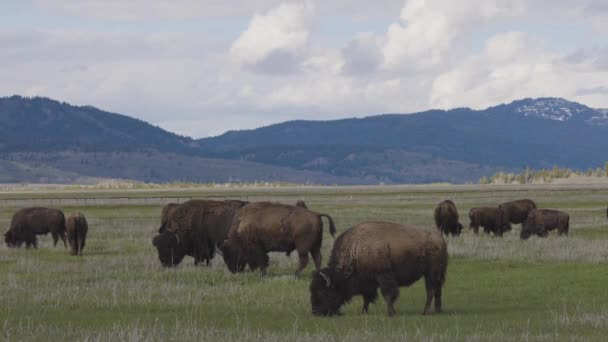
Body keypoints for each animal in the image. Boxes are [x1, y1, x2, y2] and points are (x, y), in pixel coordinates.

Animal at [308, 223, 446, 316]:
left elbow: (388, 295)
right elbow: (367, 298)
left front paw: (391, 313)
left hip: (431, 274)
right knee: (437, 290)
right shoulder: (368, 282)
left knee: (431, 291)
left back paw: (425, 312)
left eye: (322, 291)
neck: (356, 249)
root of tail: (439, 238)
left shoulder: (383, 276)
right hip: (436, 275)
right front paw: (363, 312)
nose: (315, 311)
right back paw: (437, 310)